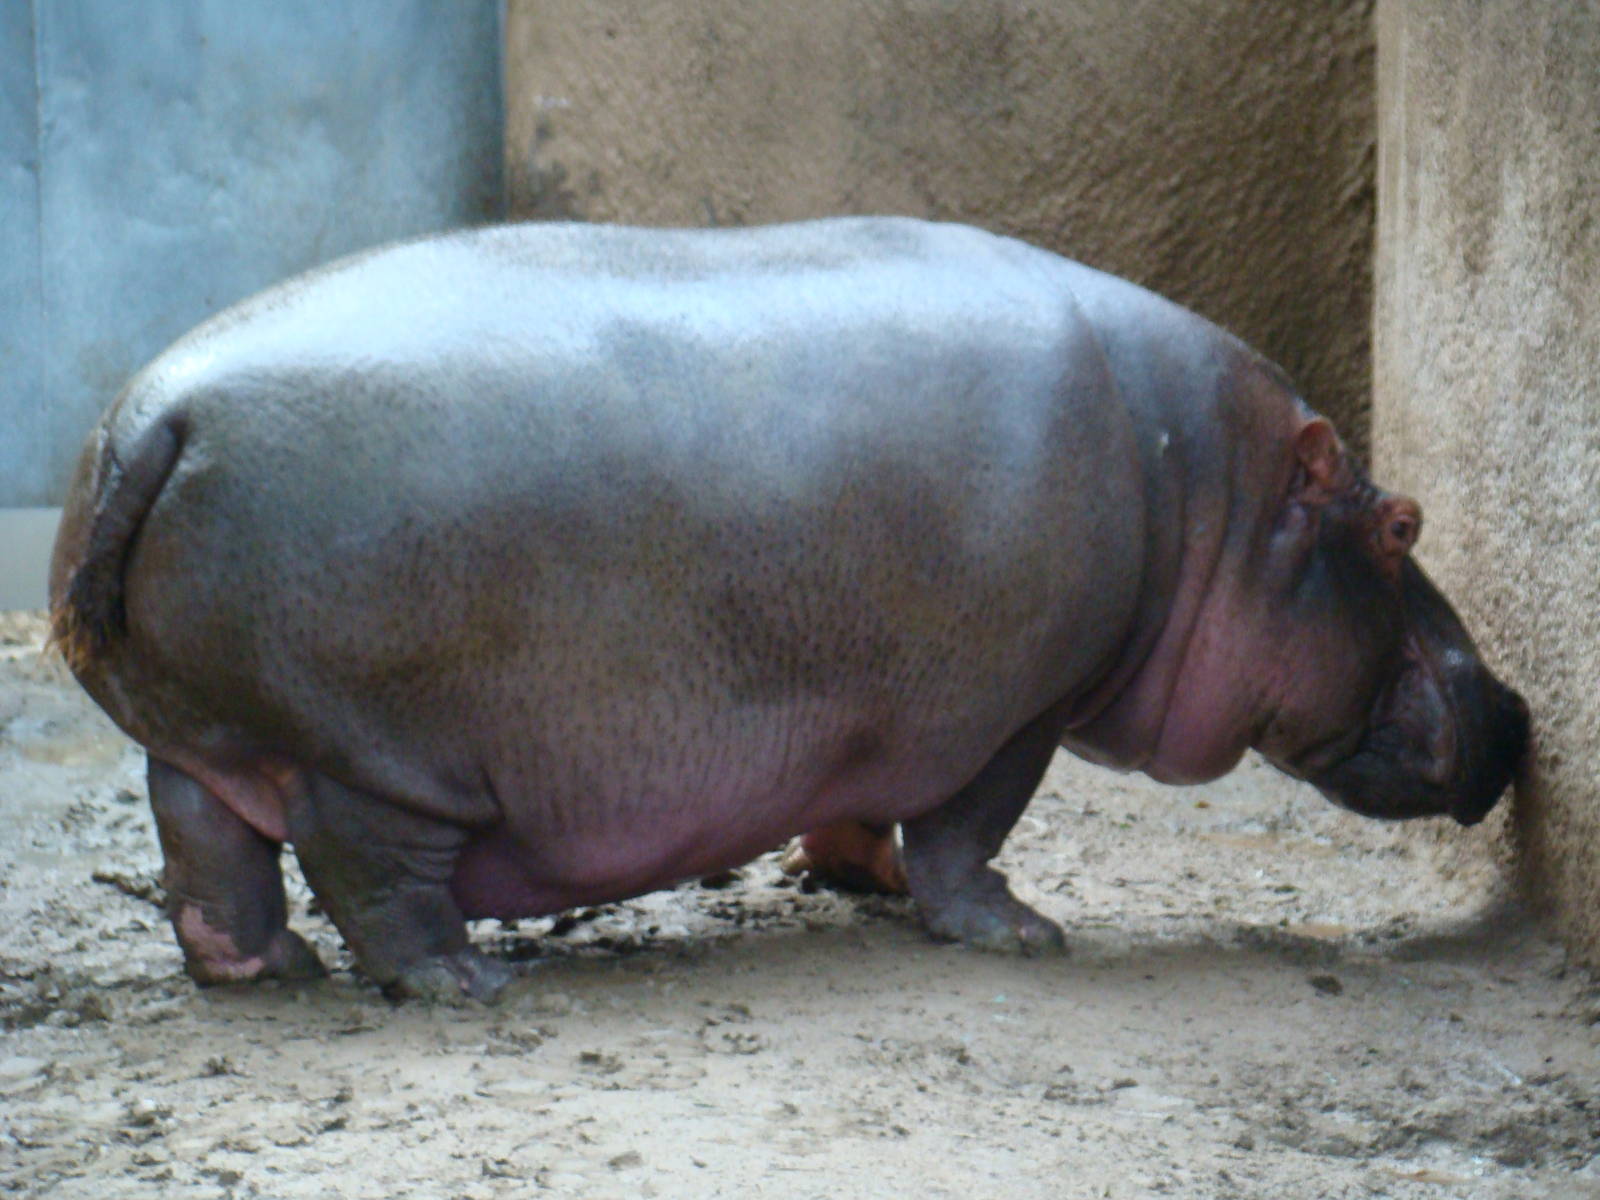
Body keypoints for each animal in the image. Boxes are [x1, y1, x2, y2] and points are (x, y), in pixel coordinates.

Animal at [49, 217, 1528, 1003]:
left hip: (213, 726)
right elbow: (967, 832)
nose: (1514, 708)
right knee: (375, 878)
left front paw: (853, 881)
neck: (1206, 491)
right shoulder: (1013, 710)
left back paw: (262, 970)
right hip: (379, 758)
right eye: (1402, 527)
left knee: (206, 841)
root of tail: (154, 415)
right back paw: (465, 983)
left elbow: (857, 805)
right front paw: (1023, 933)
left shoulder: (869, 706)